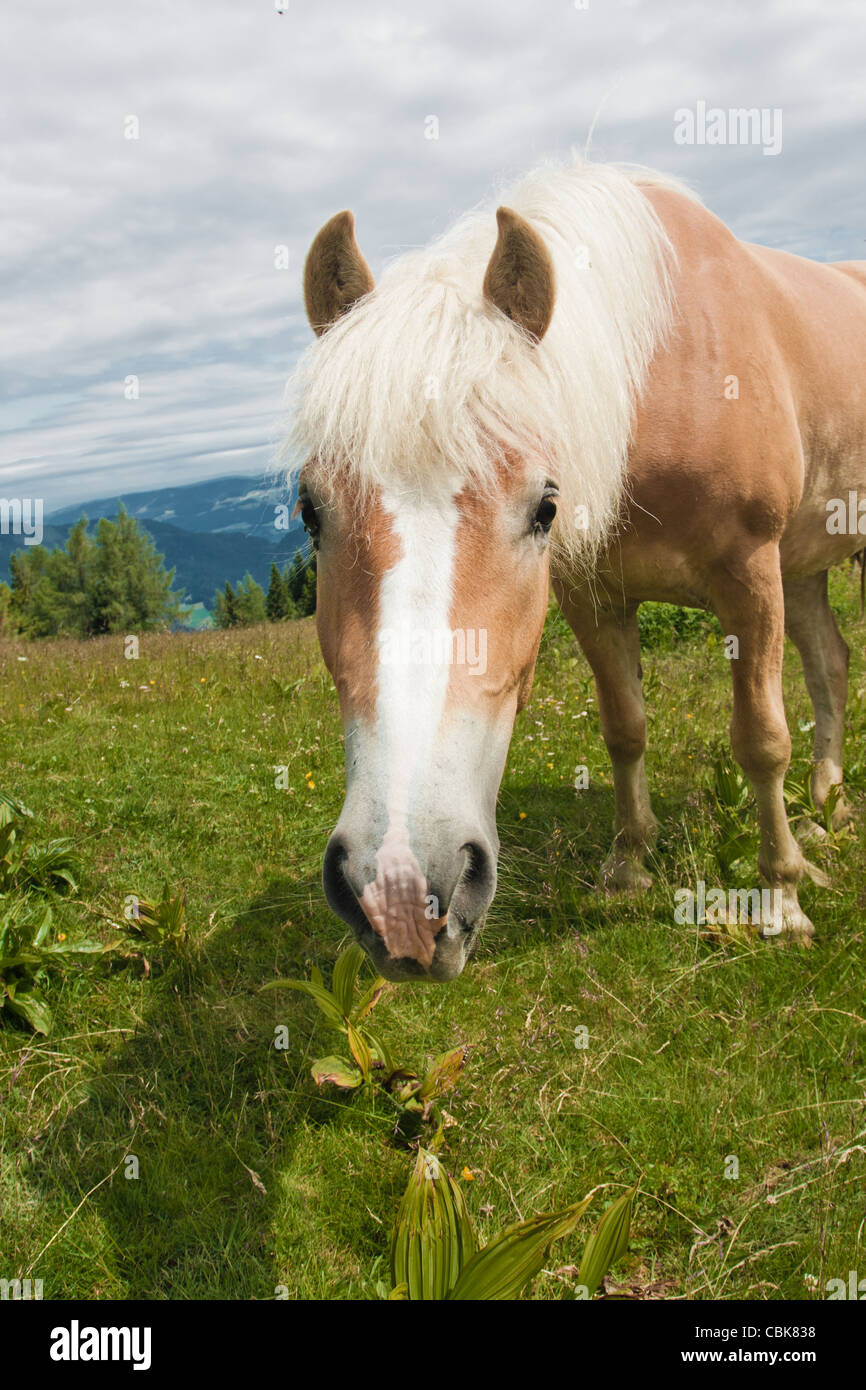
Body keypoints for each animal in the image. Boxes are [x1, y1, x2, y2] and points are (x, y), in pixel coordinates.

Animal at [287, 157, 866, 984]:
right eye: (310, 511)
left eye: (545, 508)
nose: (400, 891)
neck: (661, 372)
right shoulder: (595, 594)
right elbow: (625, 727)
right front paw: (629, 866)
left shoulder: (751, 575)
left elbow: (761, 739)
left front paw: (781, 900)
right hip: (807, 569)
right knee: (830, 665)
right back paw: (826, 804)